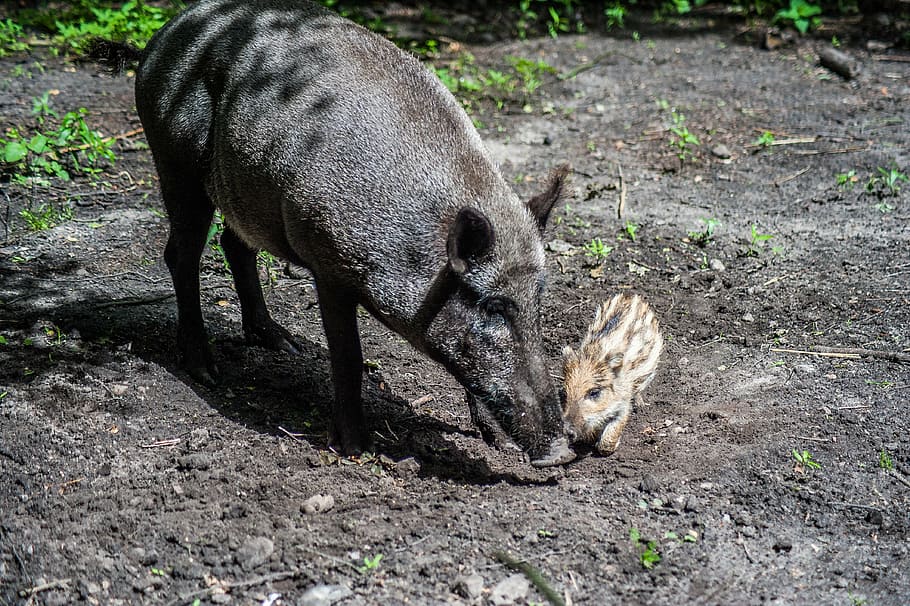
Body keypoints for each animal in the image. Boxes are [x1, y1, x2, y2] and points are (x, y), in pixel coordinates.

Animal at [120, 0, 574, 466]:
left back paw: (283, 344)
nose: (562, 451)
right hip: (174, 159)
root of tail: (169, 30)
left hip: (242, 189)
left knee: (234, 244)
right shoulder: (329, 264)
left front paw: (497, 444)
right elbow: (349, 357)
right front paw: (355, 448)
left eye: (539, 302)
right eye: (495, 307)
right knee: (181, 254)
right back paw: (206, 371)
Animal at [562, 294, 663, 454]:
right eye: (565, 394)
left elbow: (608, 440)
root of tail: (633, 296)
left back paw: (641, 405)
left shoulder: (623, 403)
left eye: (594, 392)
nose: (567, 431)